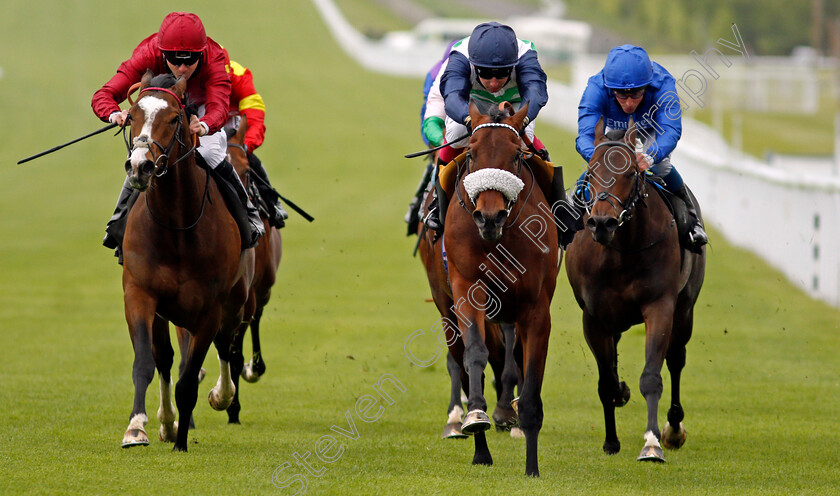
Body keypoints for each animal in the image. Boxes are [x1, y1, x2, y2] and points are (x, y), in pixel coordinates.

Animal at [120, 70, 254, 454]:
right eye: (132, 115)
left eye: (174, 118)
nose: (140, 166)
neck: (176, 227)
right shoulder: (140, 293)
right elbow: (146, 363)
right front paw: (138, 428)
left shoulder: (210, 308)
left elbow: (190, 378)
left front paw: (181, 442)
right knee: (165, 359)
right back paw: (166, 422)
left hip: (235, 301)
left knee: (226, 347)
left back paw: (222, 396)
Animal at [426, 101, 556, 476]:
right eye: (471, 153)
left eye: (516, 156)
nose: (489, 217)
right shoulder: (468, 289)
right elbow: (475, 354)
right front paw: (477, 422)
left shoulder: (536, 308)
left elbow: (530, 375)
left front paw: (532, 467)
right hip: (446, 306)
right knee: (464, 358)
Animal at [564, 118, 708, 464]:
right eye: (591, 171)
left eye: (630, 172)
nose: (602, 223)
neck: (621, 251)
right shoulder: (594, 318)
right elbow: (606, 383)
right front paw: (611, 440)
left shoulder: (660, 306)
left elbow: (652, 376)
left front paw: (653, 443)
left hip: (685, 310)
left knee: (676, 359)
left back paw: (673, 428)